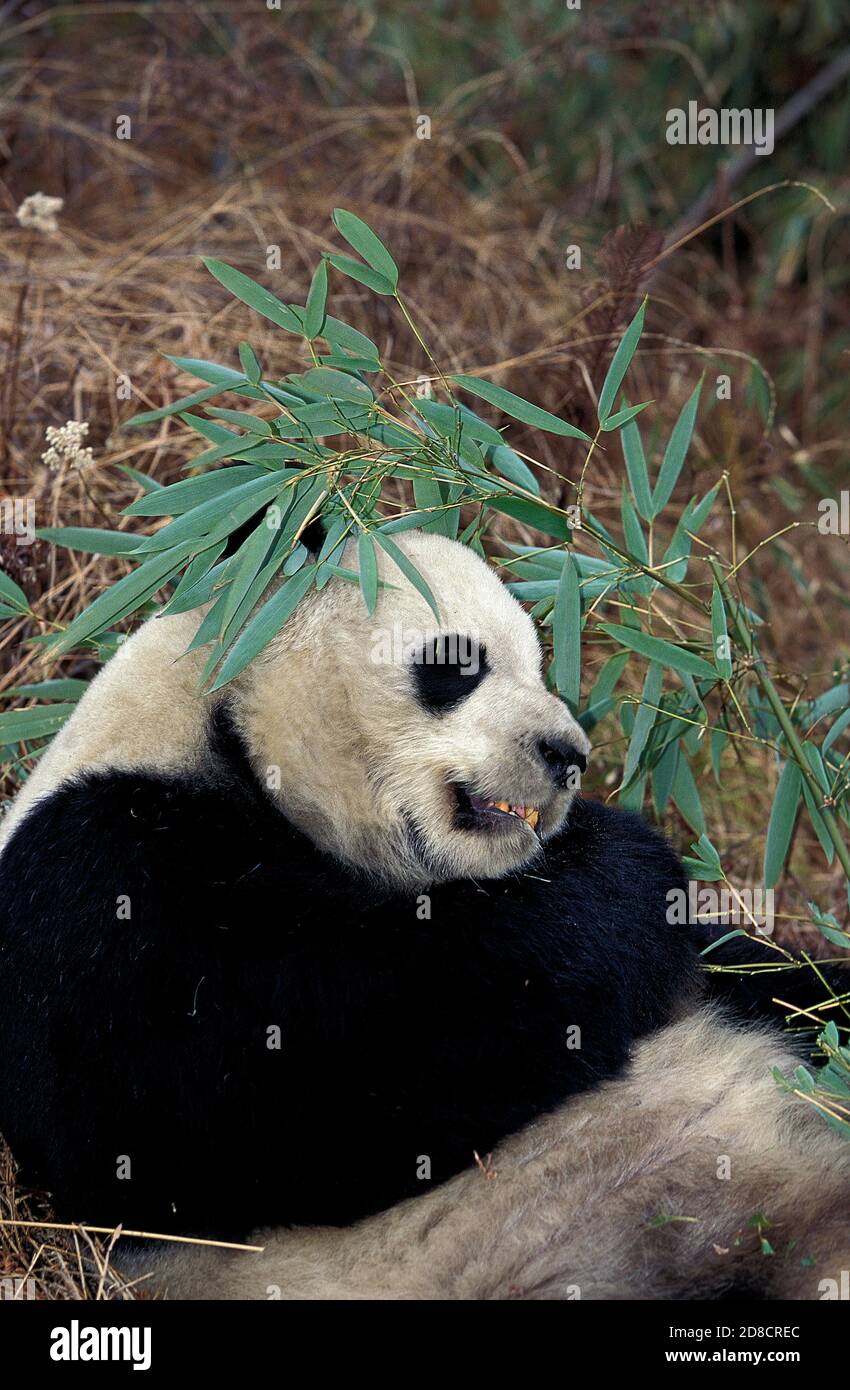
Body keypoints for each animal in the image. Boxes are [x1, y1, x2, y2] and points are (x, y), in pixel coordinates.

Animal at [1, 525, 849, 1295]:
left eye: (542, 664)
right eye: (459, 663)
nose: (567, 754)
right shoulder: (102, 878)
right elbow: (274, 1087)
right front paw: (629, 866)